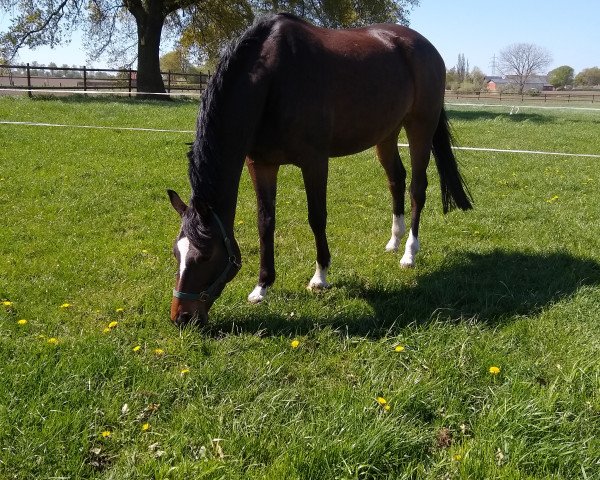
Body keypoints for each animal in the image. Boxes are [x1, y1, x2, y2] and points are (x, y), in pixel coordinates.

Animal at [166, 12, 472, 326]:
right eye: (177, 254)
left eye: (205, 256)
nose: (182, 317)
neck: (273, 79)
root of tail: (427, 47)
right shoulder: (261, 164)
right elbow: (265, 222)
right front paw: (262, 287)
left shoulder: (314, 162)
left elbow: (317, 218)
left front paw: (320, 277)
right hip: (387, 134)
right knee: (396, 180)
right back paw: (394, 242)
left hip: (420, 128)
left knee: (417, 190)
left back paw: (409, 254)